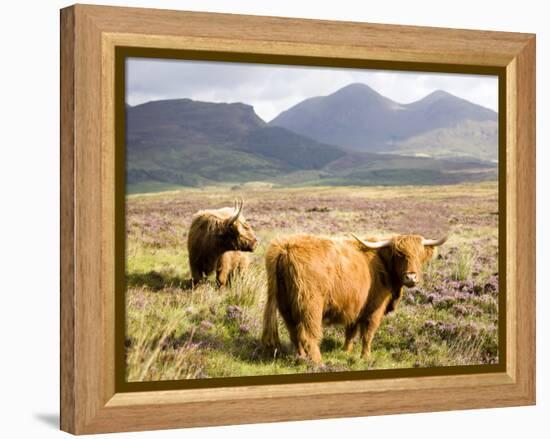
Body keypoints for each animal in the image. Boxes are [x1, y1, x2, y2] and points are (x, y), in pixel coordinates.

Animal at [264, 234, 448, 364]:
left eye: (419, 255)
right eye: (399, 254)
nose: (411, 277)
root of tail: (286, 248)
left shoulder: (354, 308)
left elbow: (350, 332)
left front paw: (346, 351)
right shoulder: (375, 310)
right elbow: (368, 334)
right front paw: (365, 356)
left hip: (286, 306)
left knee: (294, 333)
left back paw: (301, 358)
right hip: (310, 306)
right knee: (308, 335)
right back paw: (318, 362)